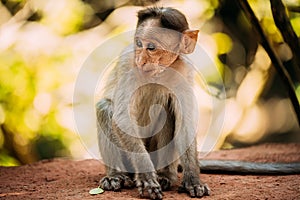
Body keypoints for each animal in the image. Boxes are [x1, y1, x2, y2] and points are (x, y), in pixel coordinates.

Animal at [96, 7, 209, 199]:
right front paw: (146, 177)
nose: (140, 60)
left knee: (167, 110)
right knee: (104, 107)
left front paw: (193, 180)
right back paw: (116, 176)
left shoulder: (185, 70)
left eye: (151, 47)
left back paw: (165, 176)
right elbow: (122, 118)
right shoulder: (128, 64)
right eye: (138, 43)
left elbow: (185, 124)